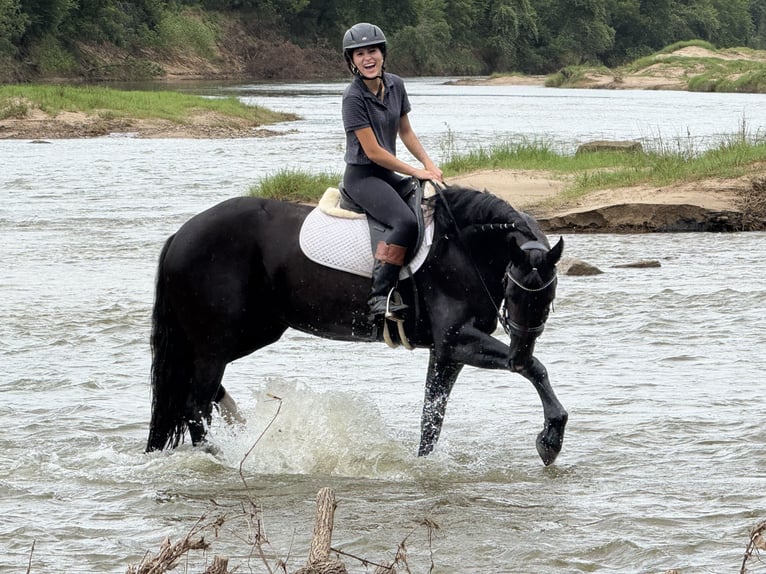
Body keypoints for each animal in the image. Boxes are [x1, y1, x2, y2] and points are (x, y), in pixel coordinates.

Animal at [146, 184, 567, 465]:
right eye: (513, 292)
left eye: (548, 297)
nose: (517, 352)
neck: (460, 248)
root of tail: (182, 234)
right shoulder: (456, 340)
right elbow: (536, 368)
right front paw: (550, 439)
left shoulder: (448, 352)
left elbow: (431, 419)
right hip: (215, 341)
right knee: (194, 403)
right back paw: (219, 457)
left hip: (251, 332)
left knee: (197, 392)